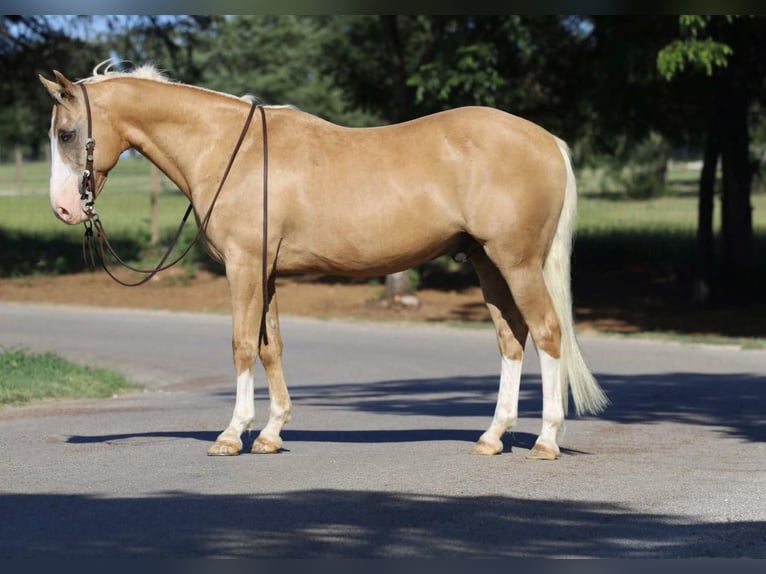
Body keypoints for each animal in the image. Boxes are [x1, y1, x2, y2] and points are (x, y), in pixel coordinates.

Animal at [39, 66, 608, 460]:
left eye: (66, 134)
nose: (64, 208)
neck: (228, 151)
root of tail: (547, 140)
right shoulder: (266, 273)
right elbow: (270, 348)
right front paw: (270, 433)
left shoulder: (244, 267)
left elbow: (241, 345)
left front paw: (232, 434)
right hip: (487, 263)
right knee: (513, 338)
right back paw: (492, 437)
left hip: (517, 262)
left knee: (548, 333)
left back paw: (546, 440)